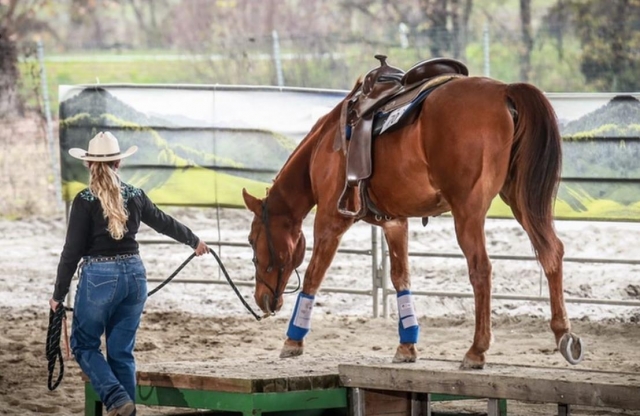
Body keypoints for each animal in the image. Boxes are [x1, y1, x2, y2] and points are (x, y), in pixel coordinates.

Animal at [242, 73, 584, 369]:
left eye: (252, 240)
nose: (262, 299)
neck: (325, 144)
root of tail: (503, 91)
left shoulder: (330, 219)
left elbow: (314, 275)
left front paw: (293, 341)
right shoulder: (395, 223)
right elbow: (400, 278)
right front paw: (406, 346)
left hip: (468, 210)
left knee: (482, 269)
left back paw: (476, 350)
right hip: (520, 199)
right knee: (552, 251)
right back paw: (563, 334)